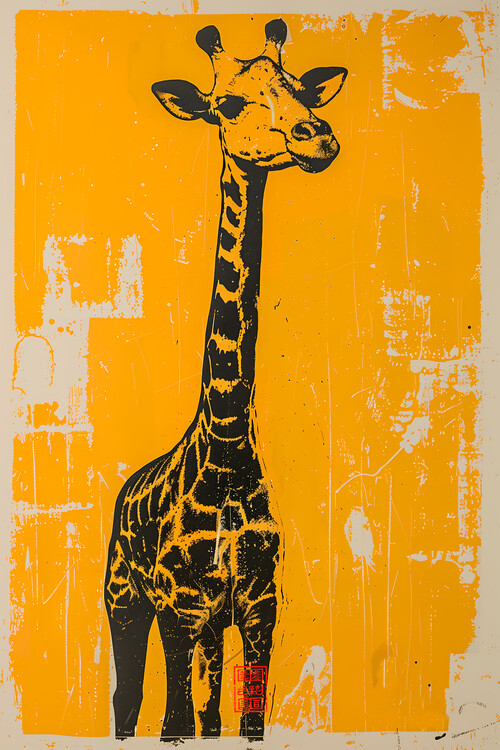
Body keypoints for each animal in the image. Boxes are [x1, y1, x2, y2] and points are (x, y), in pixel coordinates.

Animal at [105, 18, 347, 742]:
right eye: (230, 105)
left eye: (300, 90)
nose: (318, 137)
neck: (229, 452)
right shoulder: (179, 606)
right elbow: (173, 720)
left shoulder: (259, 605)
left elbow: (244, 719)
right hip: (124, 600)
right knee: (128, 699)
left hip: (211, 626)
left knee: (207, 706)